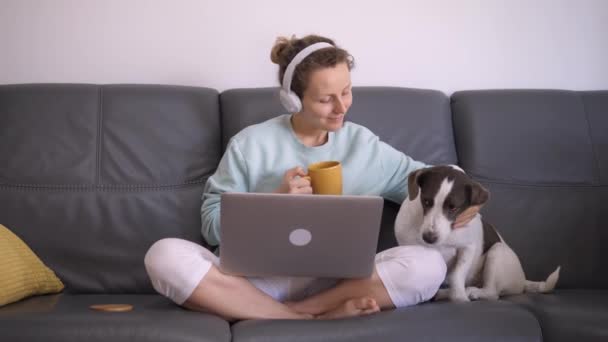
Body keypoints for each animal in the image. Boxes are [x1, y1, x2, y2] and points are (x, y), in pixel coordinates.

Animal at [394, 166, 560, 302]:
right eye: (426, 201)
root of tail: (522, 280)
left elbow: (456, 276)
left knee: (493, 293)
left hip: (497, 251)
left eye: (453, 207)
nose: (429, 238)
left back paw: (471, 292)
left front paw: (460, 298)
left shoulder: (467, 248)